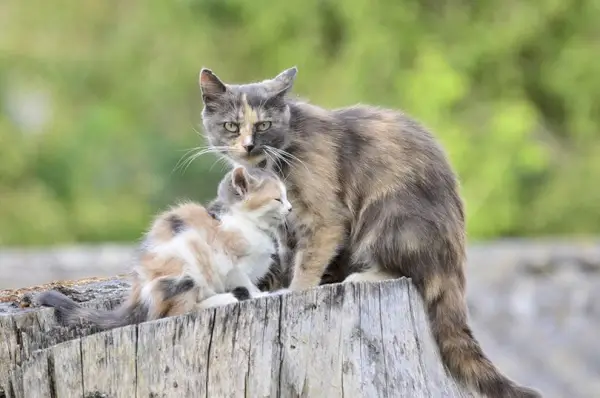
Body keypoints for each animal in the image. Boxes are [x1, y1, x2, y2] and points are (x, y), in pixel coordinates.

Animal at [35, 165, 292, 330]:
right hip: (184, 275)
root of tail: (137, 296)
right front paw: (261, 295)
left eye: (287, 196)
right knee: (173, 313)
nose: (290, 208)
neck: (244, 221)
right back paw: (226, 299)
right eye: (277, 199)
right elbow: (246, 282)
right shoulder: (231, 264)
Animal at [198, 67, 544, 396]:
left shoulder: (325, 216)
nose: (248, 145)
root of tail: (453, 268)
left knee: (411, 272)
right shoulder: (284, 229)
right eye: (231, 126)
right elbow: (288, 257)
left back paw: (364, 276)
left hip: (390, 216)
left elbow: (308, 260)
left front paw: (296, 290)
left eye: (264, 126)